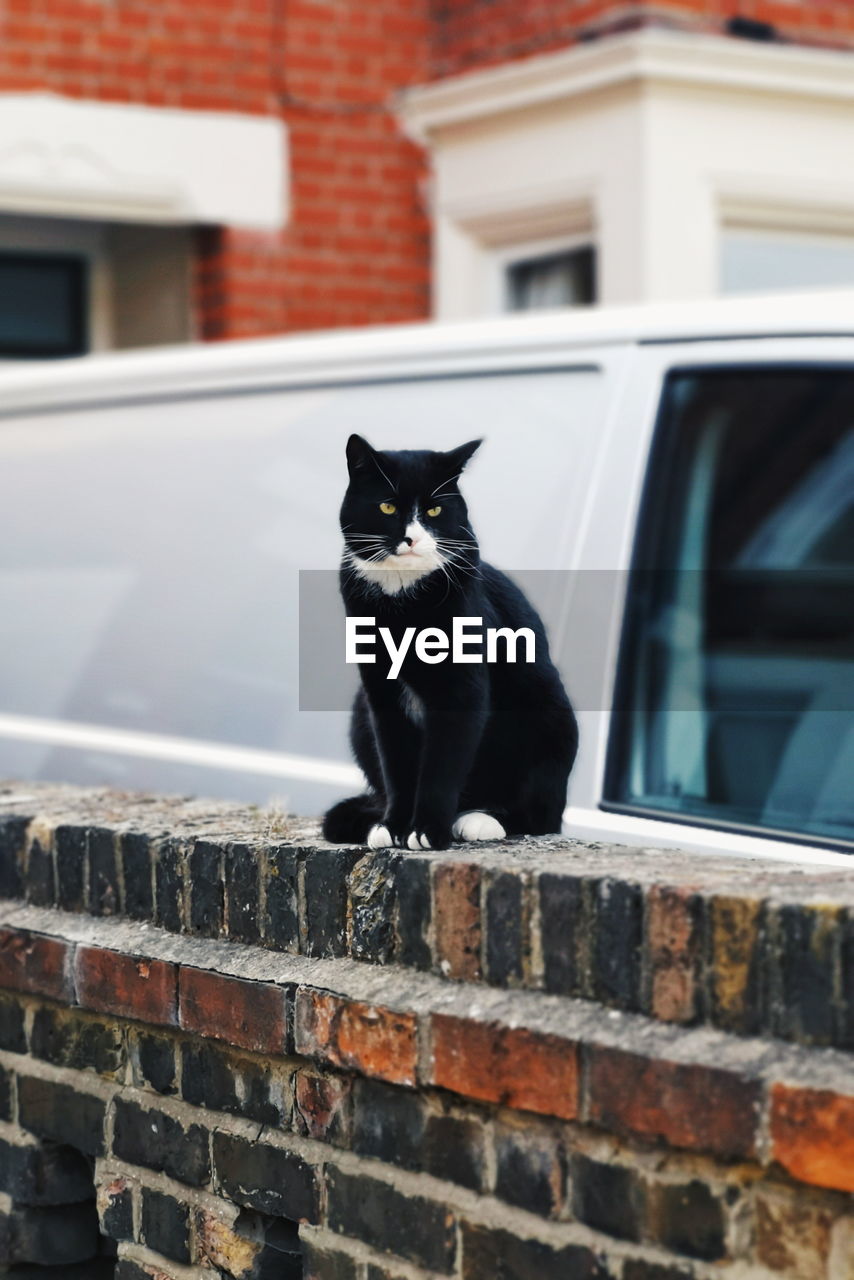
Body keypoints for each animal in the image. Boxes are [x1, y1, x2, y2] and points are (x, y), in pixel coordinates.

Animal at [322, 432, 581, 849]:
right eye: (387, 506)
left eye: (434, 511)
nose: (411, 539)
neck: (402, 596)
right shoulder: (380, 690)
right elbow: (396, 762)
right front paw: (393, 826)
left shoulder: (461, 686)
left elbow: (443, 763)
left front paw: (427, 830)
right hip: (360, 713)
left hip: (550, 711)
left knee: (541, 815)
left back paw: (480, 818)